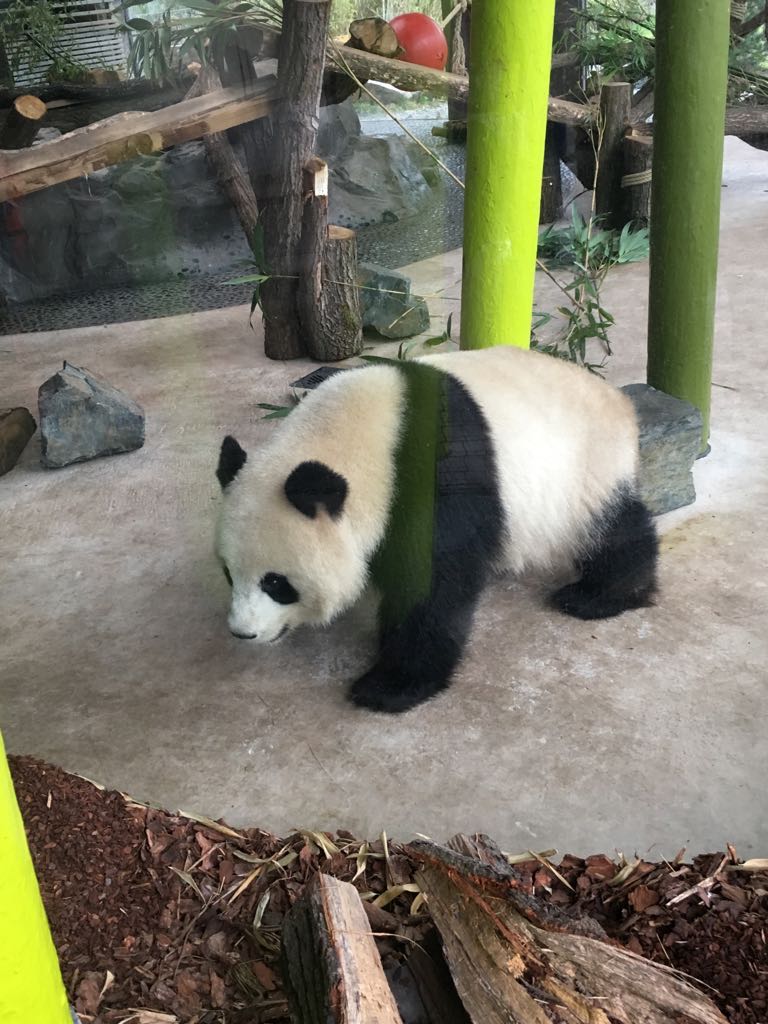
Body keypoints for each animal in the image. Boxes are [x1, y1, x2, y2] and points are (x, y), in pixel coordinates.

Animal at [215, 346, 658, 713]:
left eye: (276, 582)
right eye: (228, 575)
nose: (242, 633)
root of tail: (620, 401)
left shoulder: (434, 485)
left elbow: (433, 587)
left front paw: (389, 687)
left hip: (582, 468)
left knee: (613, 529)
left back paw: (599, 595)